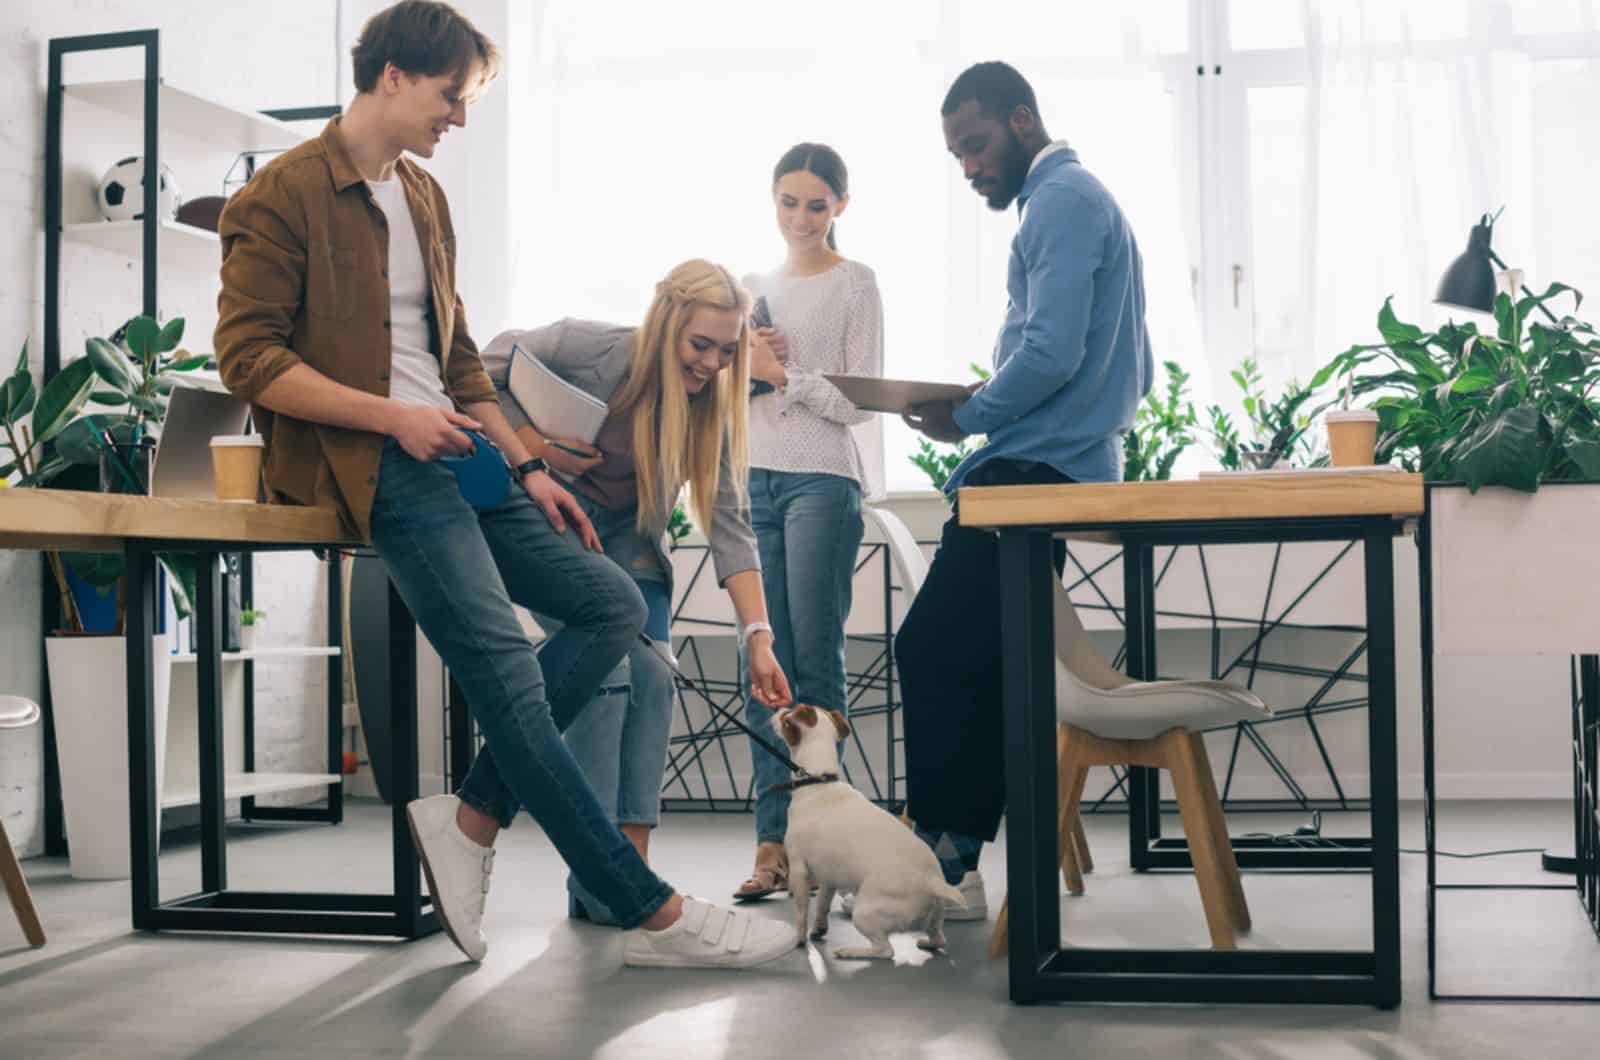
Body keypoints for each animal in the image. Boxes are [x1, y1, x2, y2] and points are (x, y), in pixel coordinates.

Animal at [771, 704, 960, 960]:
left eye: (786, 716)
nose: (779, 707)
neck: (818, 781)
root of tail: (931, 880)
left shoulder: (799, 870)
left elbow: (801, 912)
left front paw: (800, 940)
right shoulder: (829, 876)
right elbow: (822, 904)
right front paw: (819, 928)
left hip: (864, 912)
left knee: (885, 950)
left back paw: (850, 951)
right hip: (935, 916)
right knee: (938, 938)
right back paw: (926, 943)